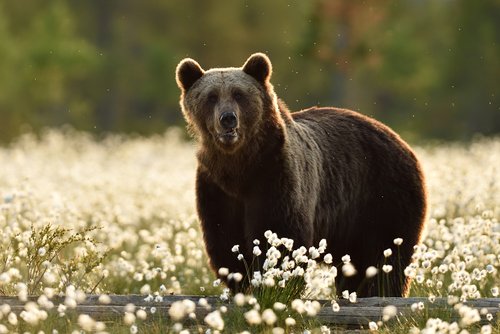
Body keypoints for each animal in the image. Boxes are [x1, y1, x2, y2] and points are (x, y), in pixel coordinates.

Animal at [175, 52, 426, 298]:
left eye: (239, 94)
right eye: (211, 96)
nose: (227, 118)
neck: (240, 166)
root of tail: (402, 141)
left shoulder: (274, 175)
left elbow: (279, 232)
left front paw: (273, 286)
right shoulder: (216, 186)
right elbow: (225, 239)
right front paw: (241, 284)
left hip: (382, 194)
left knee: (387, 253)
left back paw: (383, 292)